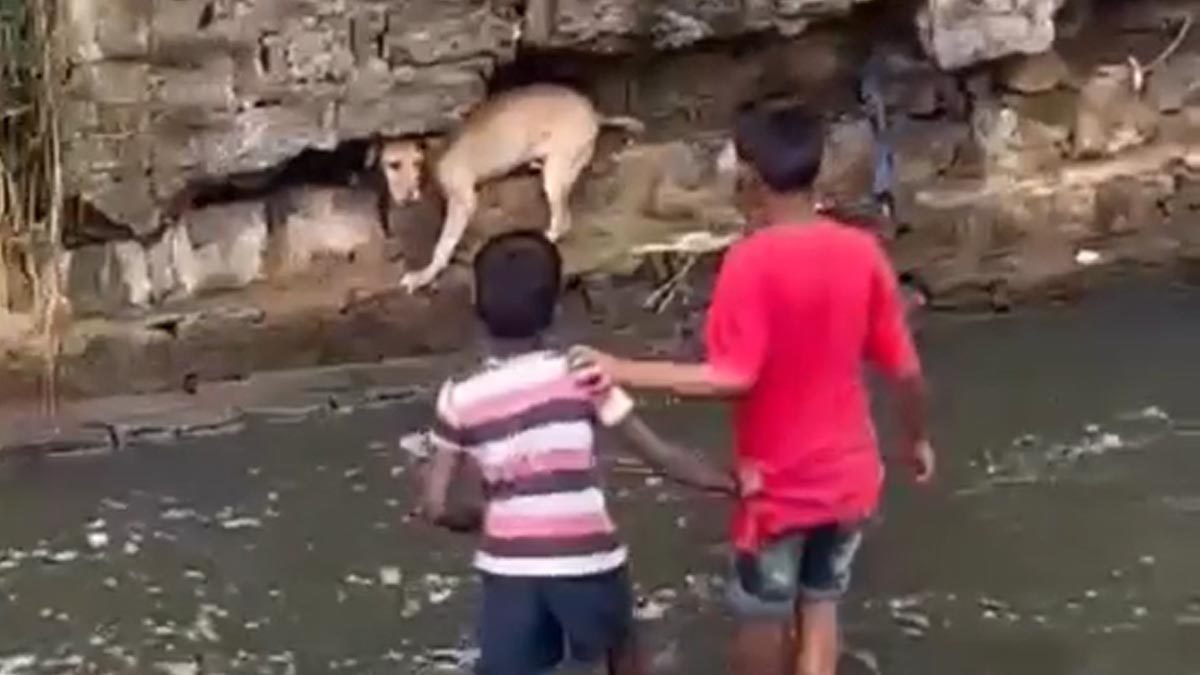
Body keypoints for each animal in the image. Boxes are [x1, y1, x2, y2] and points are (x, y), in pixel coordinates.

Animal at [372, 84, 643, 291]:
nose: (408, 197)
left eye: (416, 163)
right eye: (393, 165)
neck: (433, 155)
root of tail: (594, 111)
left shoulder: (463, 200)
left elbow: (443, 244)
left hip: (556, 174)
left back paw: (548, 235)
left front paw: (424, 276)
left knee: (562, 220)